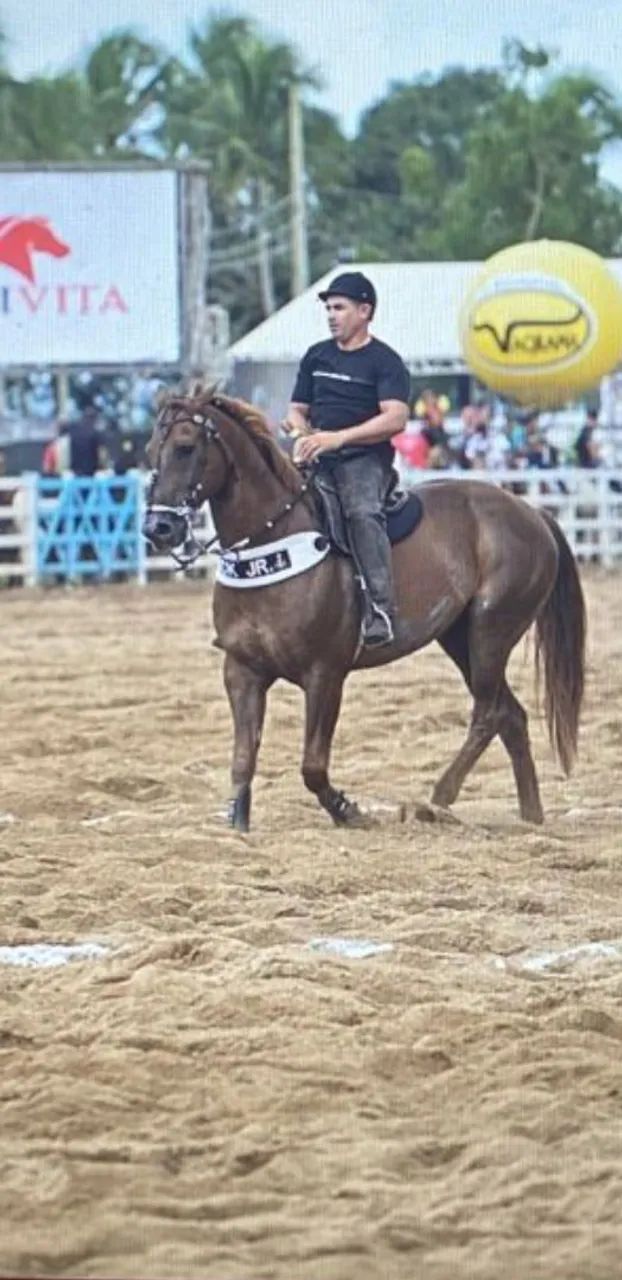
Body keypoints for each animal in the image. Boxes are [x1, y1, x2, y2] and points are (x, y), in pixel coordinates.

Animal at [143, 385, 586, 833]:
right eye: (149, 451)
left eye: (185, 447)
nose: (157, 528)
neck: (272, 545)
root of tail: (531, 512)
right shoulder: (242, 671)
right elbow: (242, 760)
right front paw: (237, 821)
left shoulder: (325, 675)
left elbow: (313, 766)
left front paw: (348, 810)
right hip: (459, 638)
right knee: (511, 716)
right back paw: (531, 816)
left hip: (490, 634)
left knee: (489, 713)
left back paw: (437, 800)